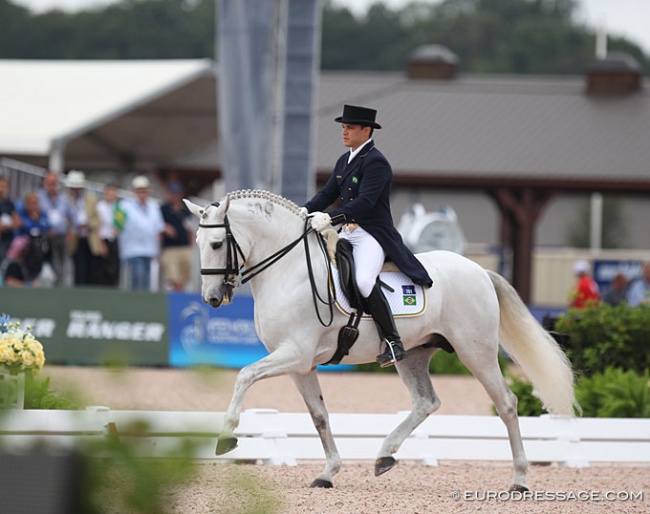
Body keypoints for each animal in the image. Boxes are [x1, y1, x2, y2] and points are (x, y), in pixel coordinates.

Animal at [185, 188, 576, 488]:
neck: (289, 269)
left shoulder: (294, 354)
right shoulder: (300, 366)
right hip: (414, 354)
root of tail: (479, 270)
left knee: (507, 404)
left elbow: (244, 375)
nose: (212, 298)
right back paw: (384, 455)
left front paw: (227, 436)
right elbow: (319, 416)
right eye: (198, 242)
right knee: (426, 402)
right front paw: (328, 473)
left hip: (474, 352)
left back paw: (520, 480)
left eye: (217, 243)